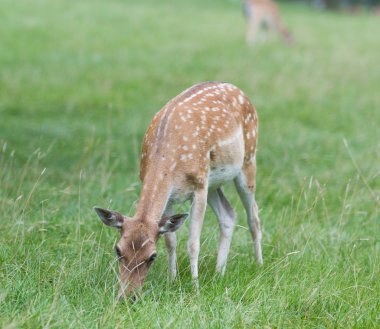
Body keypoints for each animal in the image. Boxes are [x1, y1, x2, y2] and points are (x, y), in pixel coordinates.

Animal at [93, 81, 262, 300]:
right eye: (118, 250)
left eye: (152, 256)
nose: (128, 296)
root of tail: (238, 90)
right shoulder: (171, 196)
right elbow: (170, 240)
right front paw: (172, 280)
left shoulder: (199, 186)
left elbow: (193, 243)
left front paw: (195, 287)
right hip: (213, 182)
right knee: (229, 214)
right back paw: (219, 272)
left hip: (248, 159)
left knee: (254, 215)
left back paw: (258, 265)